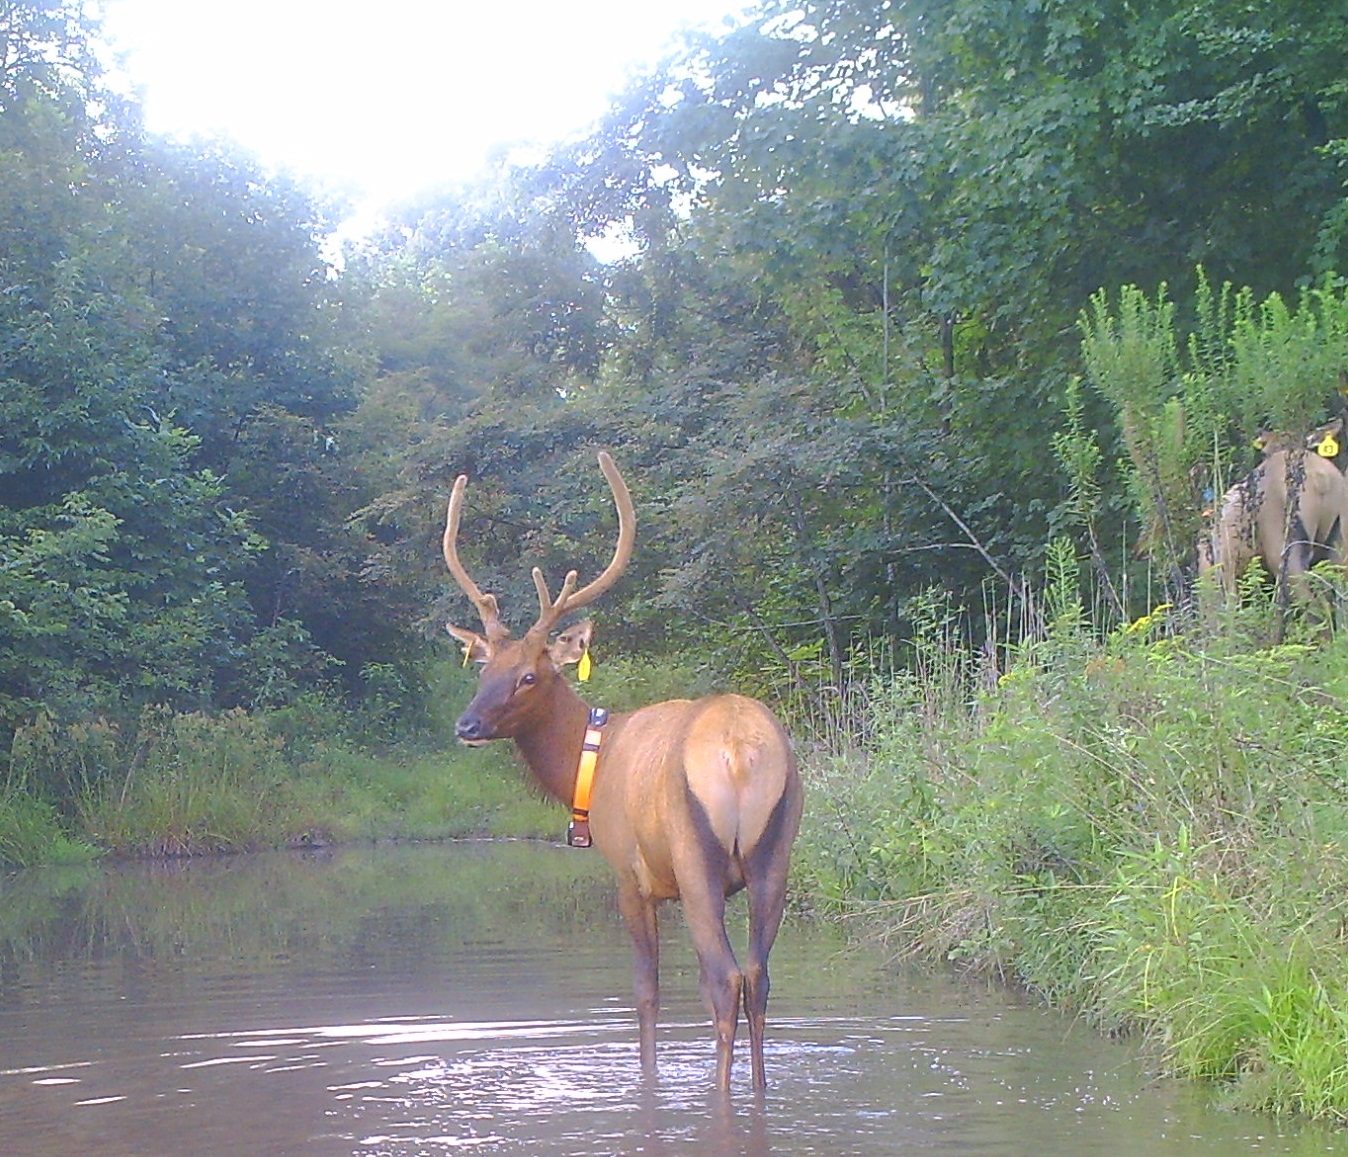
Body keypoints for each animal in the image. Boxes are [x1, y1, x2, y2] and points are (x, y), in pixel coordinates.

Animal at [441, 451, 804, 1091]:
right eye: (483, 669)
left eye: (529, 676)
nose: (468, 725)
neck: (590, 761)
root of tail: (740, 753)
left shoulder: (630, 873)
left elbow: (645, 990)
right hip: (775, 853)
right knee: (758, 978)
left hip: (694, 856)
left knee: (724, 979)